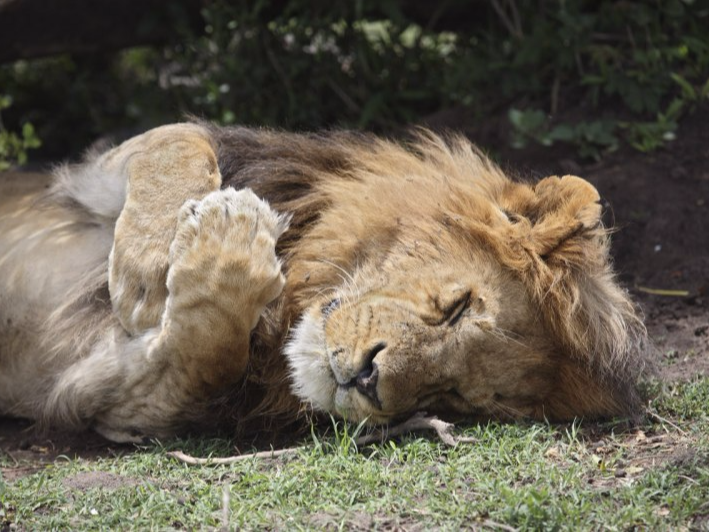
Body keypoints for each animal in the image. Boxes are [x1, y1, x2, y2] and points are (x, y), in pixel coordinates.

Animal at [0, 122, 648, 442]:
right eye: (460, 307)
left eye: (457, 398)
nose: (366, 380)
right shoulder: (93, 172)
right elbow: (179, 136)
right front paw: (145, 270)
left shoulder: (118, 399)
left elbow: (208, 351)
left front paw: (230, 241)